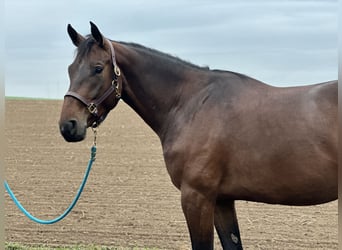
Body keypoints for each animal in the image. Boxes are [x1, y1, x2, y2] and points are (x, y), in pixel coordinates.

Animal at [58, 22, 336, 249]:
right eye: (70, 69)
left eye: (97, 68)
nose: (68, 125)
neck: (190, 102)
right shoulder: (222, 200)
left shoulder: (196, 198)